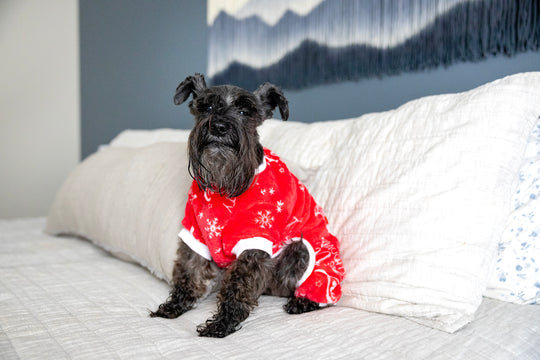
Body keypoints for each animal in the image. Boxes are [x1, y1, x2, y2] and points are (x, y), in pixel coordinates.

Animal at [150, 74, 344, 338]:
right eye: (206, 107)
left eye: (244, 112)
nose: (219, 127)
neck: (224, 185)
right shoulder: (196, 233)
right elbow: (190, 271)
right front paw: (175, 305)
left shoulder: (254, 241)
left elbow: (239, 286)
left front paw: (222, 323)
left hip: (303, 252)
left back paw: (302, 302)